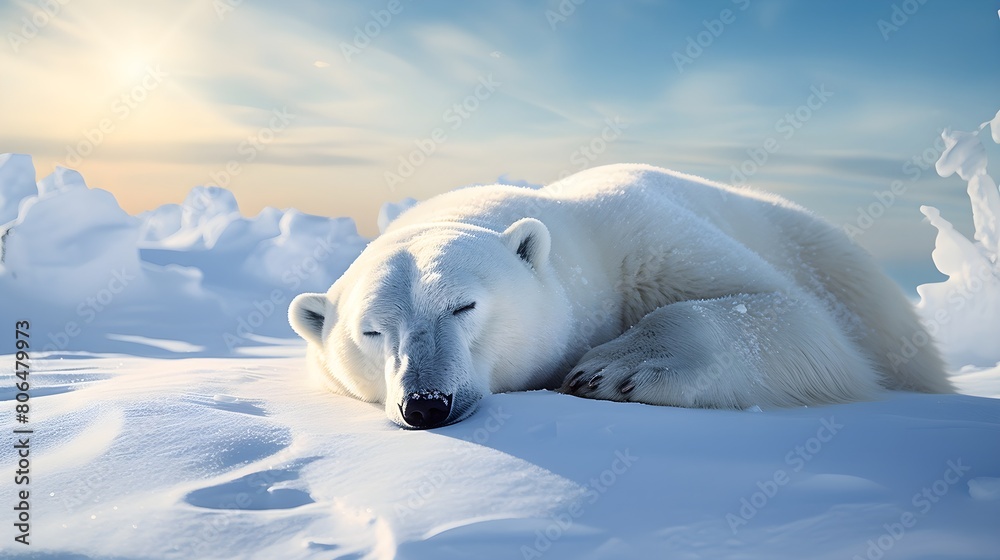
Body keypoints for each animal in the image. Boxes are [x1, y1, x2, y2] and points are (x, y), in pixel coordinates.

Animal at [289, 164, 952, 429]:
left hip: (847, 275)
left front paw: (611, 370)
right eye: (372, 331)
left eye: (463, 305)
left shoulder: (643, 237)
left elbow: (793, 317)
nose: (425, 404)